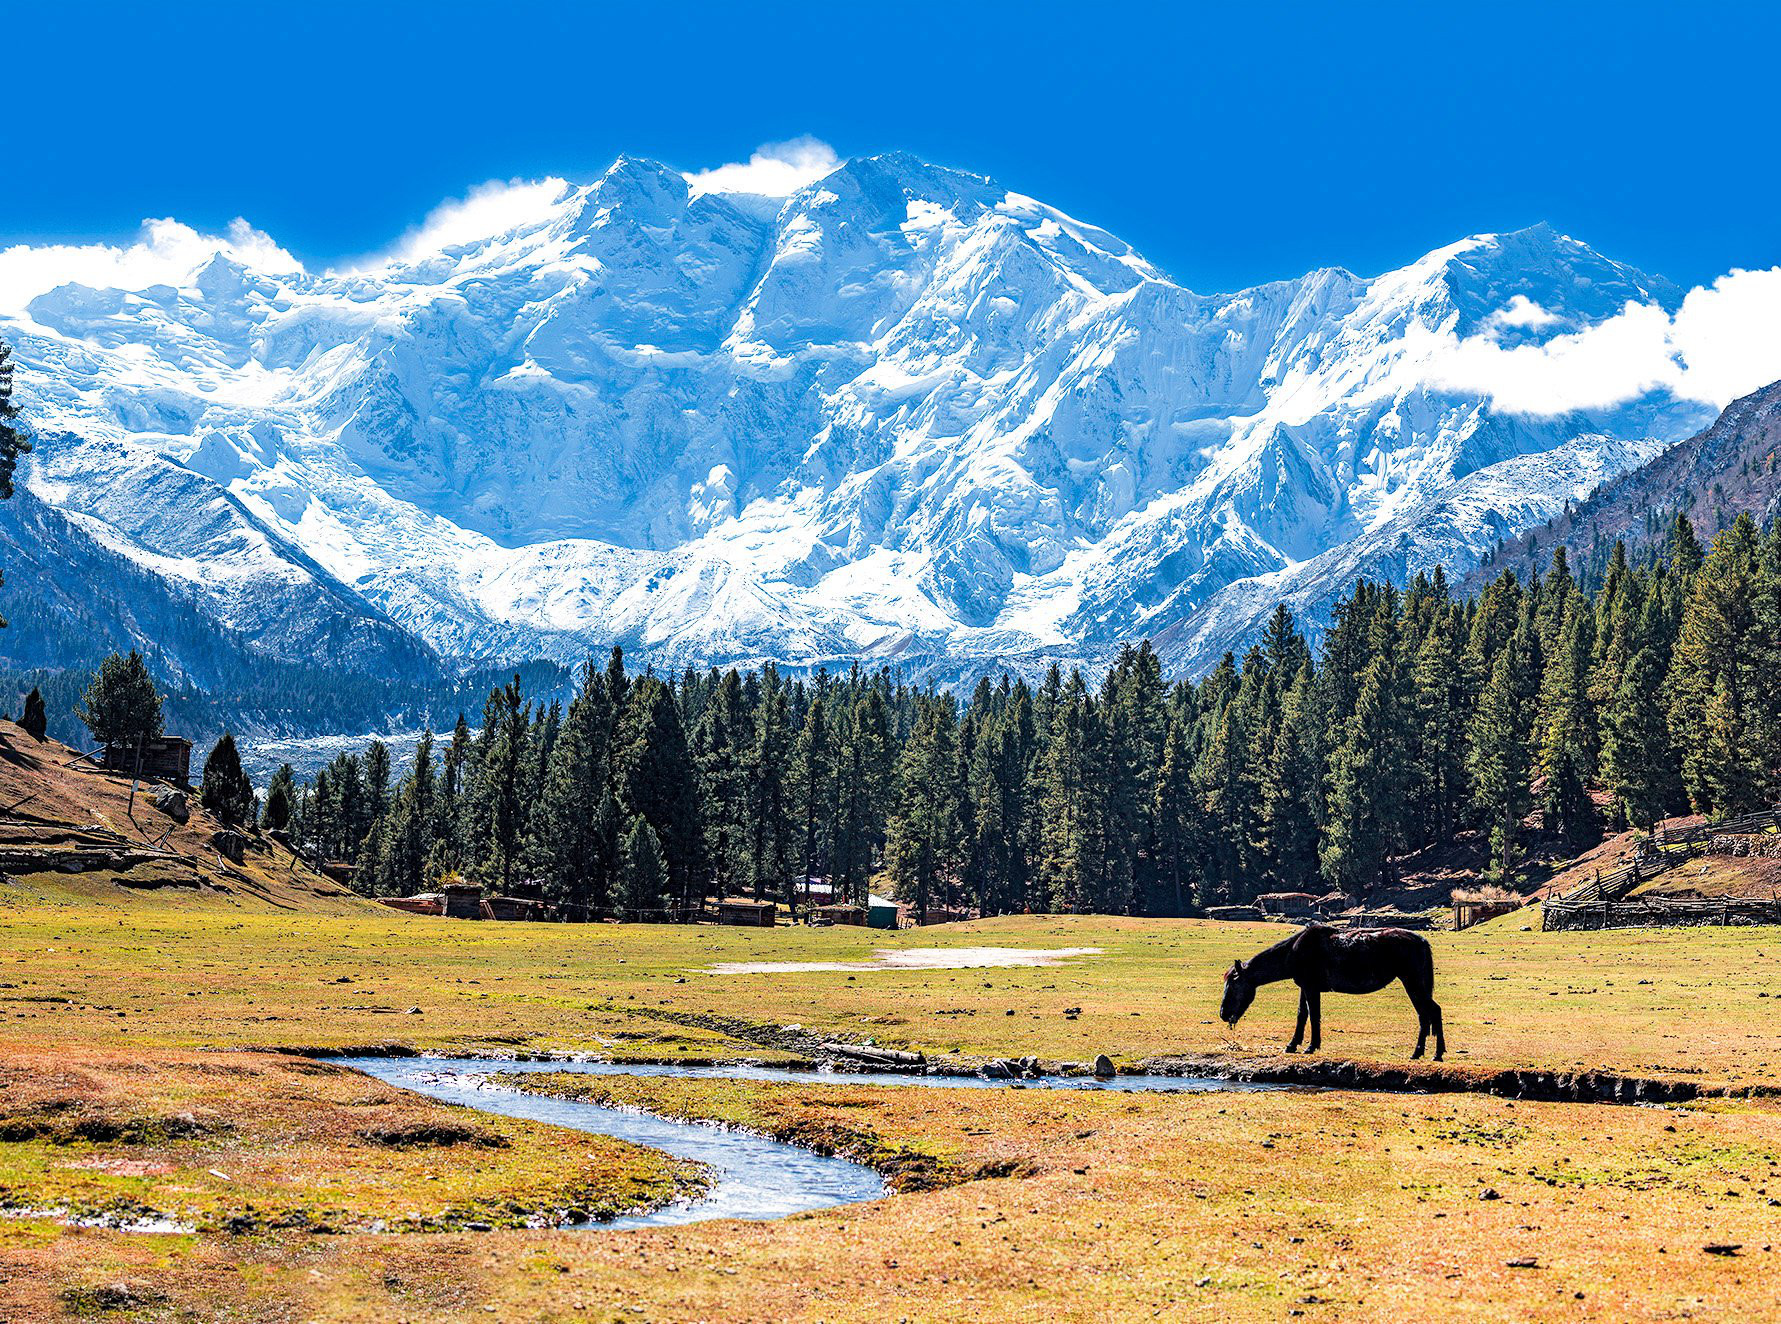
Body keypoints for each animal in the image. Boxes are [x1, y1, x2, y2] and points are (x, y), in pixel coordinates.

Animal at [1218, 926, 1439, 1062]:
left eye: (1234, 984)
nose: (1223, 1014)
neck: (1293, 951)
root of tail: (1421, 941)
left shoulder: (1311, 988)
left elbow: (1314, 1016)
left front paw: (1311, 1046)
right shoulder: (1305, 987)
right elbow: (1302, 1015)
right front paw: (1292, 1045)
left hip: (1413, 984)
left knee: (1430, 1013)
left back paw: (1429, 1053)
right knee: (1428, 1013)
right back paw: (1427, 1053)